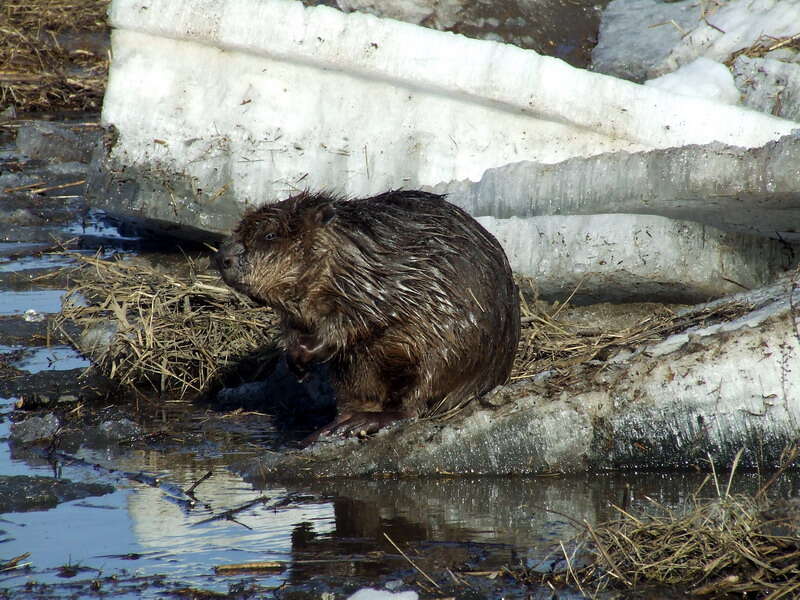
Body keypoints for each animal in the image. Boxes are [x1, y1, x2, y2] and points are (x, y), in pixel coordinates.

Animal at [216, 191, 520, 440]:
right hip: (353, 373)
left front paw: (305, 354)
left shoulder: (379, 285)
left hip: (449, 352)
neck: (355, 253)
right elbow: (295, 328)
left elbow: (361, 321)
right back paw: (330, 428)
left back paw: (362, 422)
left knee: (415, 400)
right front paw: (295, 362)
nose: (222, 257)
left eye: (270, 236)